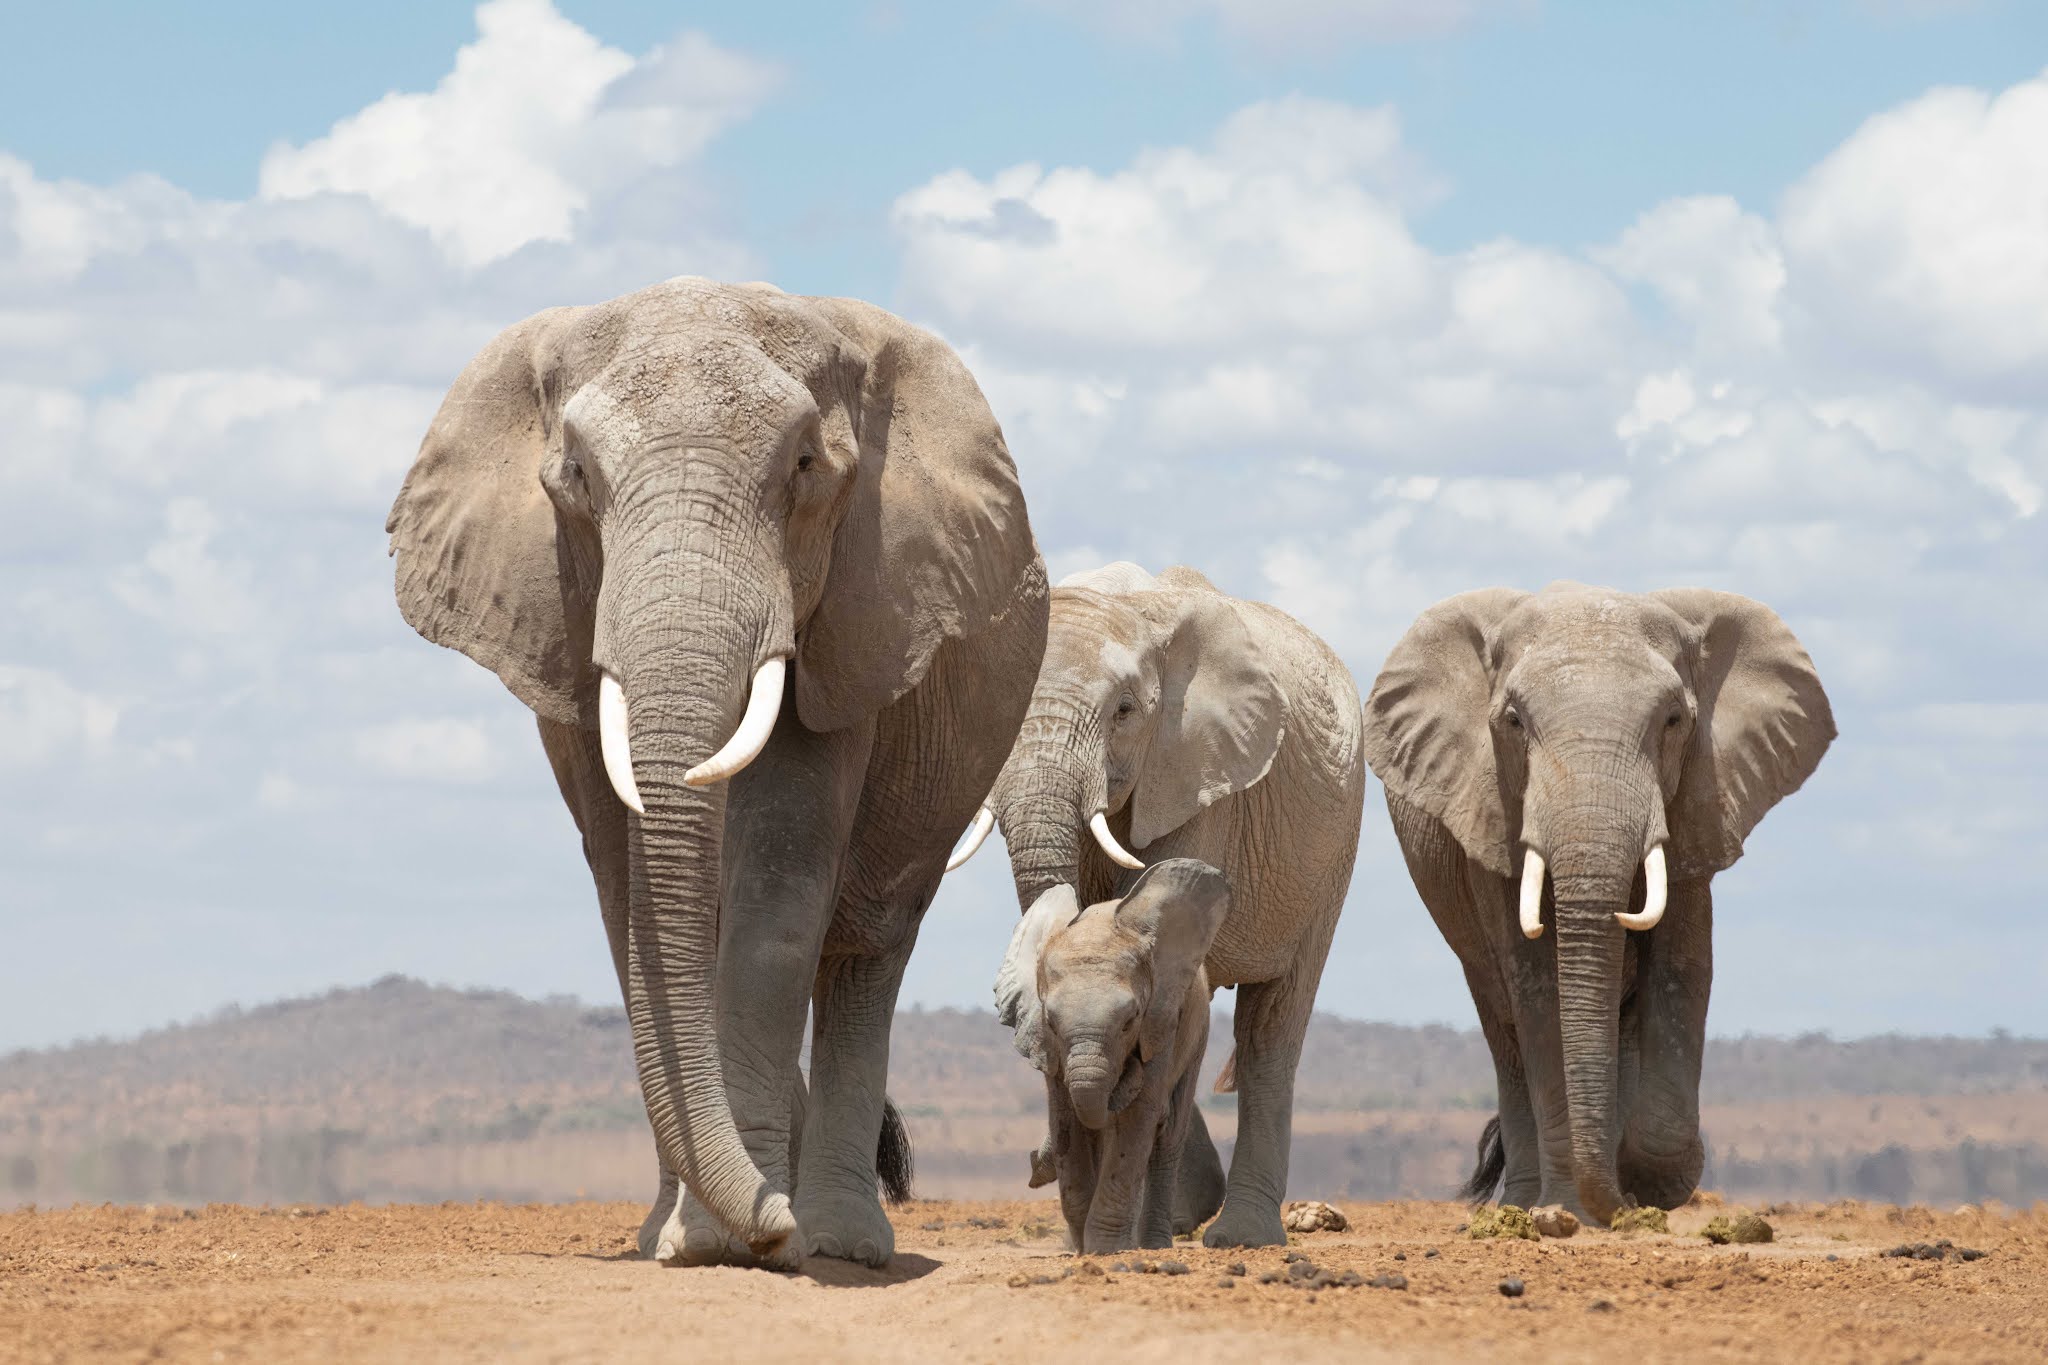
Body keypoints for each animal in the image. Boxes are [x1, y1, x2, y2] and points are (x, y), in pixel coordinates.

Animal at [386, 278, 1049, 1268]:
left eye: (807, 467)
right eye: (574, 475)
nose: (772, 1224)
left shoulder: (848, 615)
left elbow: (779, 890)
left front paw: (749, 1235)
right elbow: (634, 906)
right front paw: (686, 1240)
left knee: (868, 948)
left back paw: (842, 1239)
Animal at [993, 859, 1231, 1253]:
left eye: (1130, 1021)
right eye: (1051, 1022)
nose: (1031, 1165)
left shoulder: (1161, 1022)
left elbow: (1138, 1117)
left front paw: (1106, 1249)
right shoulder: (1052, 1053)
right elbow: (1066, 1119)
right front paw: (1080, 1247)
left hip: (1196, 1033)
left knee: (1168, 1133)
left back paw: (1152, 1245)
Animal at [1361, 582, 1834, 1225]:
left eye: (1674, 721)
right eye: (1513, 721)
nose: (1613, 1203)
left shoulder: (1698, 803)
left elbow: (1682, 971)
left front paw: (1647, 1180)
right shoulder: (1491, 811)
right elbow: (1538, 989)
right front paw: (1574, 1209)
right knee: (1503, 1025)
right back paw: (1525, 1204)